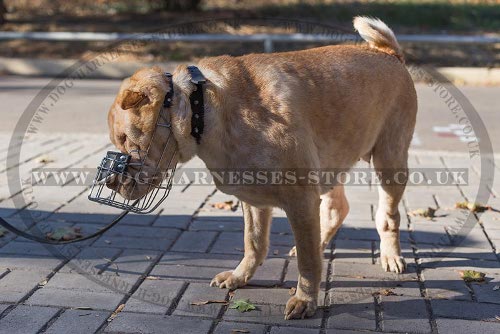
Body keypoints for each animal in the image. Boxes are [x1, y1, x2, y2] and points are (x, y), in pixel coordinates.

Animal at [106, 17, 418, 320]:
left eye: (126, 139)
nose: (110, 181)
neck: (204, 109)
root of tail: (388, 53)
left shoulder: (301, 199)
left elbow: (307, 263)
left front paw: (305, 299)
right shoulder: (254, 199)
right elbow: (253, 242)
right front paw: (240, 276)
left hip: (389, 162)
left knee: (388, 216)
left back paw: (390, 255)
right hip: (332, 161)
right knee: (336, 209)